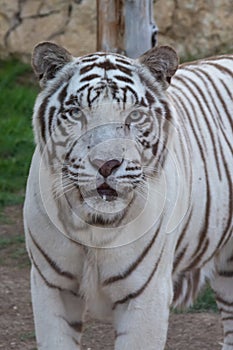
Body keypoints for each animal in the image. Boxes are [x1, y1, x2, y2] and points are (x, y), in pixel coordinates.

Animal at [24, 42, 233, 348]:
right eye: (76, 112)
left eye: (134, 115)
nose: (106, 164)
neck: (94, 227)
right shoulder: (51, 286)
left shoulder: (146, 295)